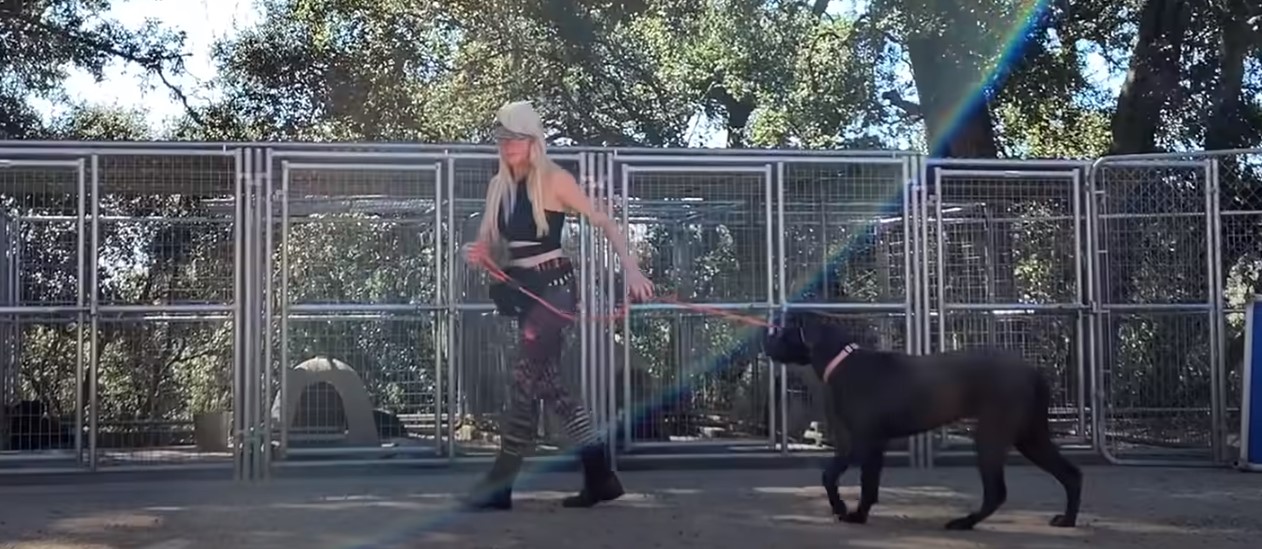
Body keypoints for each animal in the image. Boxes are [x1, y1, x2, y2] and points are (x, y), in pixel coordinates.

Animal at [762, 309, 1080, 527]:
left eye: (784, 332)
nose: (766, 343)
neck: (842, 362)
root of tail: (1033, 372)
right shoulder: (859, 443)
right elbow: (845, 479)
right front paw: (848, 510)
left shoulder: (865, 441)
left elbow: (851, 480)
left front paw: (851, 513)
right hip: (1030, 436)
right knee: (1071, 474)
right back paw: (1067, 520)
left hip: (992, 434)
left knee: (996, 492)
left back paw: (964, 523)